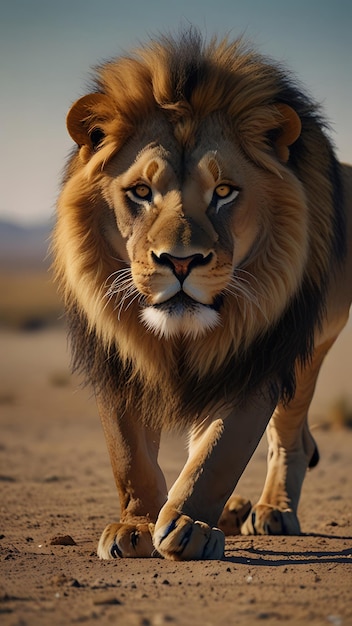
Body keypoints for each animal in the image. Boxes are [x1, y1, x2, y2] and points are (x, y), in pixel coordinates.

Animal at [53, 29, 352, 560]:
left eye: (225, 192)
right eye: (141, 191)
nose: (180, 261)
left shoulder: (261, 353)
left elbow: (222, 450)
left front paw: (189, 523)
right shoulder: (117, 350)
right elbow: (128, 452)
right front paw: (137, 524)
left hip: (311, 349)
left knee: (288, 435)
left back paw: (271, 510)